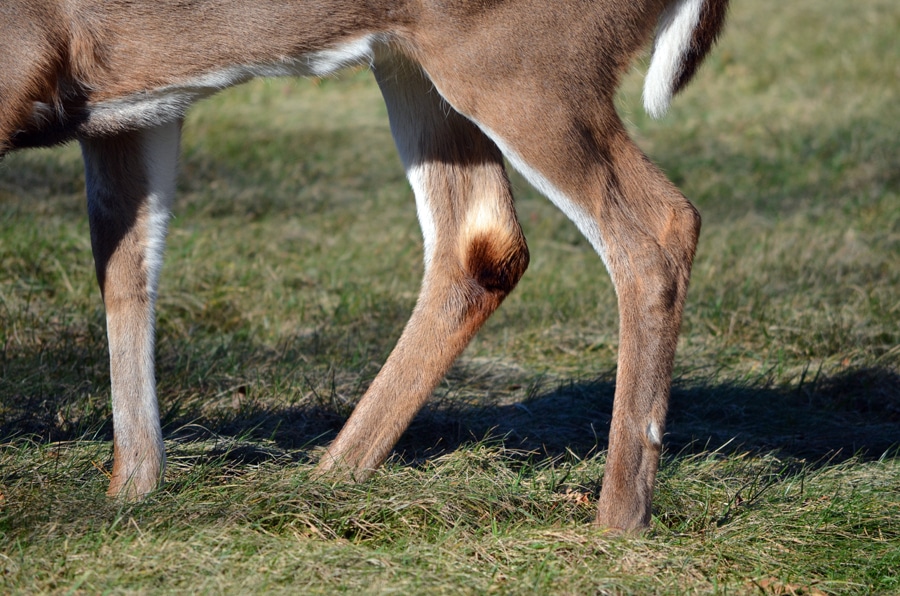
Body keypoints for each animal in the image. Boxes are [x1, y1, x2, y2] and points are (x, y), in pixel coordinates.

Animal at [0, 0, 729, 532]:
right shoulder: (130, 99)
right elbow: (125, 269)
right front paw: (131, 491)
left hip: (527, 58)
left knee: (658, 227)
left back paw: (617, 522)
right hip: (417, 57)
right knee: (481, 238)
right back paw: (324, 480)